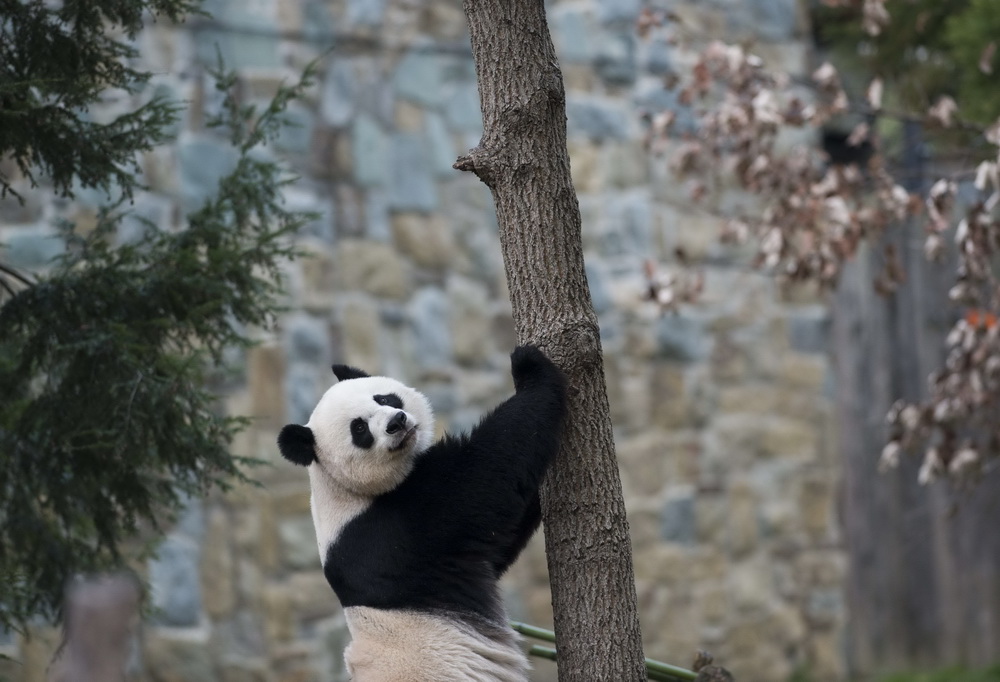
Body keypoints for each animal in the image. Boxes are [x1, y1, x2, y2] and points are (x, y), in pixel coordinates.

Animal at [278, 346, 568, 680]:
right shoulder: (387, 533)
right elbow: (483, 478)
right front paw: (528, 365)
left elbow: (499, 541)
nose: (397, 421)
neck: (341, 488)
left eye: (384, 398)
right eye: (359, 428)